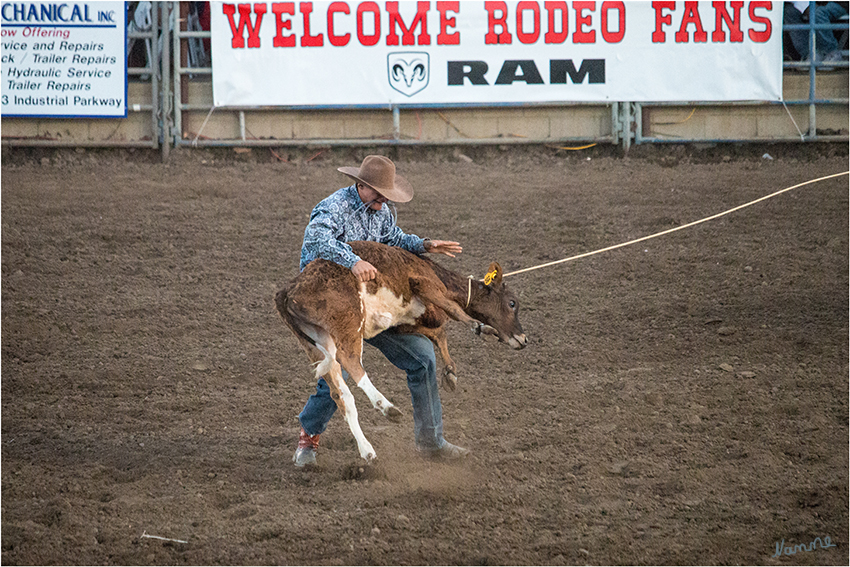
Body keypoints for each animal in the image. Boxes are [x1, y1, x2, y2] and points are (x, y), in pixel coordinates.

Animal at [274, 242, 528, 464]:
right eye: (512, 303)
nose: (524, 340)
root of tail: (287, 290)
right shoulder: (423, 284)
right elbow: (453, 310)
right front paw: (480, 327)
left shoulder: (404, 324)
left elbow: (439, 333)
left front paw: (450, 373)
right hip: (348, 324)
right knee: (351, 361)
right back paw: (386, 407)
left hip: (316, 342)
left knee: (341, 396)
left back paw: (367, 450)